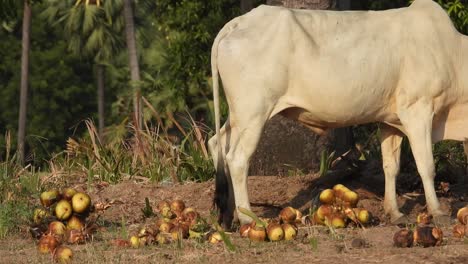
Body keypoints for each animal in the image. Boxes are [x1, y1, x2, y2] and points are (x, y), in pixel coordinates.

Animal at [209, 0, 468, 227]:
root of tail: (240, 22)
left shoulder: (390, 121)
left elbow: (391, 167)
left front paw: (394, 213)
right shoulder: (418, 109)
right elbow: (426, 166)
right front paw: (438, 212)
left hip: (239, 115)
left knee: (217, 144)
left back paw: (228, 216)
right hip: (255, 111)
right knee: (237, 158)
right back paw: (247, 218)